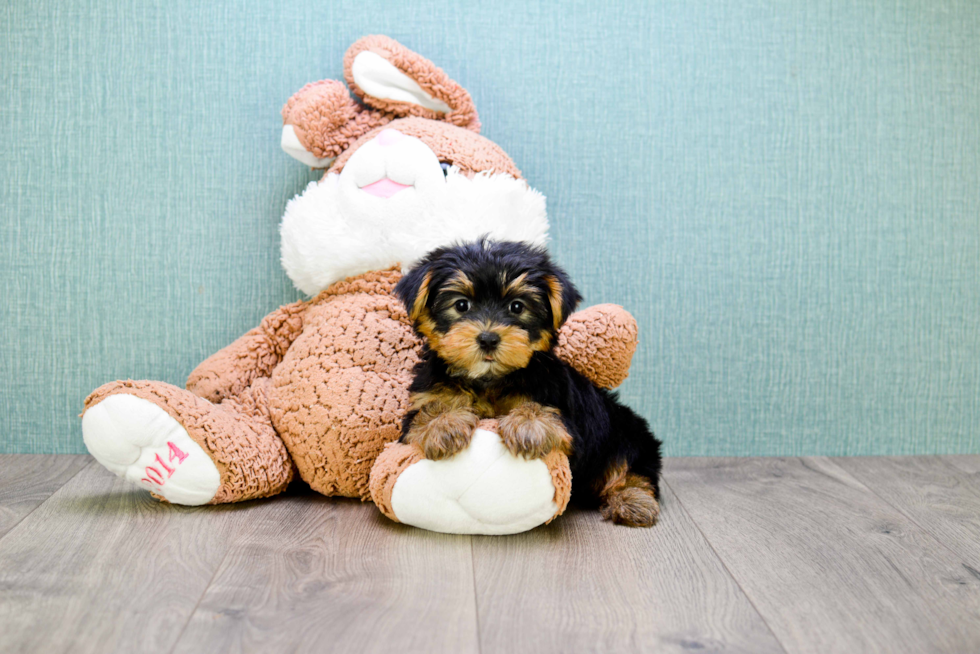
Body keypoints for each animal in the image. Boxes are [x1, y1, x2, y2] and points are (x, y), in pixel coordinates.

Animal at [394, 238, 664, 532]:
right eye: (462, 305)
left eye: (517, 307)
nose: (488, 338)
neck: (490, 379)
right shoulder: (420, 402)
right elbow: (429, 411)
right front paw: (443, 424)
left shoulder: (564, 412)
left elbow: (544, 413)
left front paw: (528, 425)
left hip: (628, 436)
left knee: (633, 471)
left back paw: (633, 502)